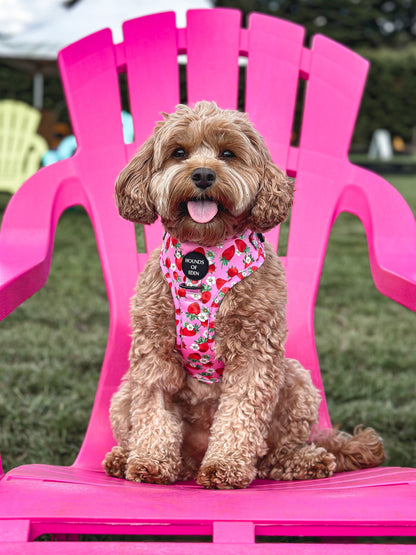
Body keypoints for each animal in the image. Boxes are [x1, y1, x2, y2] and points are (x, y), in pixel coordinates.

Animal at [102, 102, 386, 488]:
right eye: (179, 152)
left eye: (228, 154)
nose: (203, 175)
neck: (203, 252)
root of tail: (193, 457)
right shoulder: (154, 350)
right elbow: (153, 410)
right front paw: (150, 461)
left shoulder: (255, 351)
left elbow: (241, 414)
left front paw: (225, 466)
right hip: (123, 393)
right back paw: (125, 457)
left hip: (296, 379)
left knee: (273, 456)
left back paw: (306, 460)